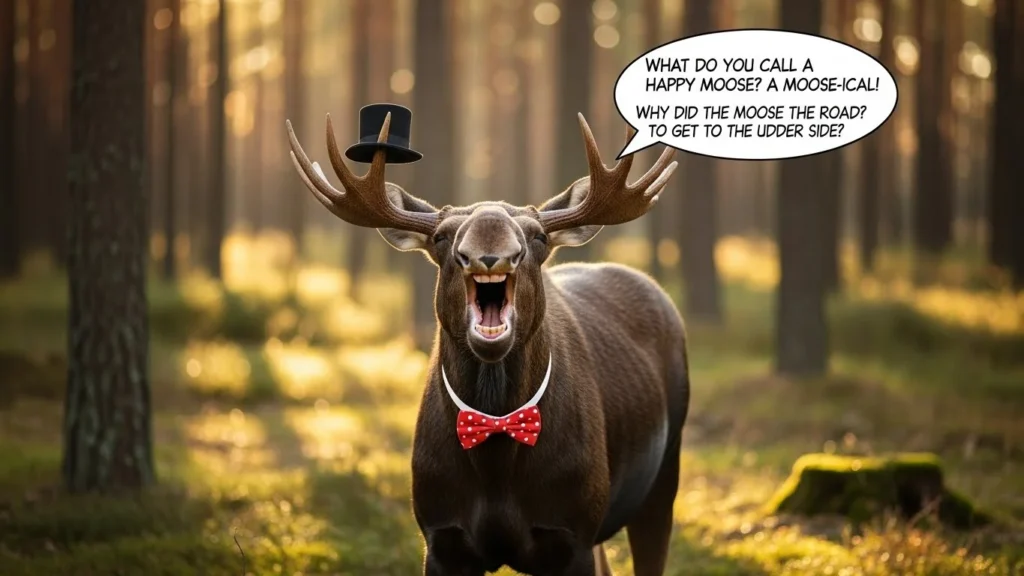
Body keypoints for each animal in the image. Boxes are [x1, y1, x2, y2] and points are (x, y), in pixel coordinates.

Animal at [286, 111, 690, 576]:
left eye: (537, 236)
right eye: (441, 236)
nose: (490, 252)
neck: (496, 462)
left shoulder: (572, 533)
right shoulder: (440, 536)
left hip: (663, 476)